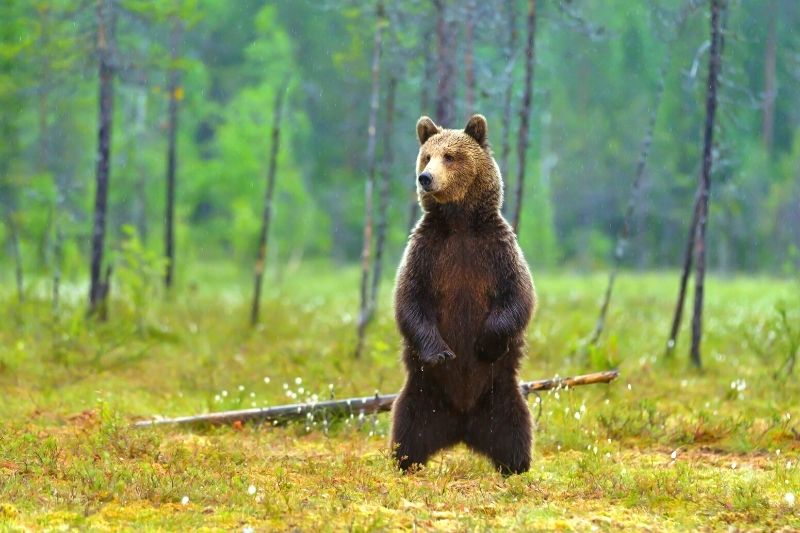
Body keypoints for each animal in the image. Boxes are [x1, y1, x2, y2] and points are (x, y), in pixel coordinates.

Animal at [390, 113, 536, 474]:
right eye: (427, 156)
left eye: (450, 156)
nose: (426, 178)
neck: (459, 223)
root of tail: (462, 424)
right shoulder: (427, 252)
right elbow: (410, 301)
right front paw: (442, 353)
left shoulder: (496, 250)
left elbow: (518, 297)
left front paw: (485, 342)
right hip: (422, 394)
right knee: (407, 427)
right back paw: (405, 462)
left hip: (500, 393)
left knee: (515, 427)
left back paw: (516, 465)